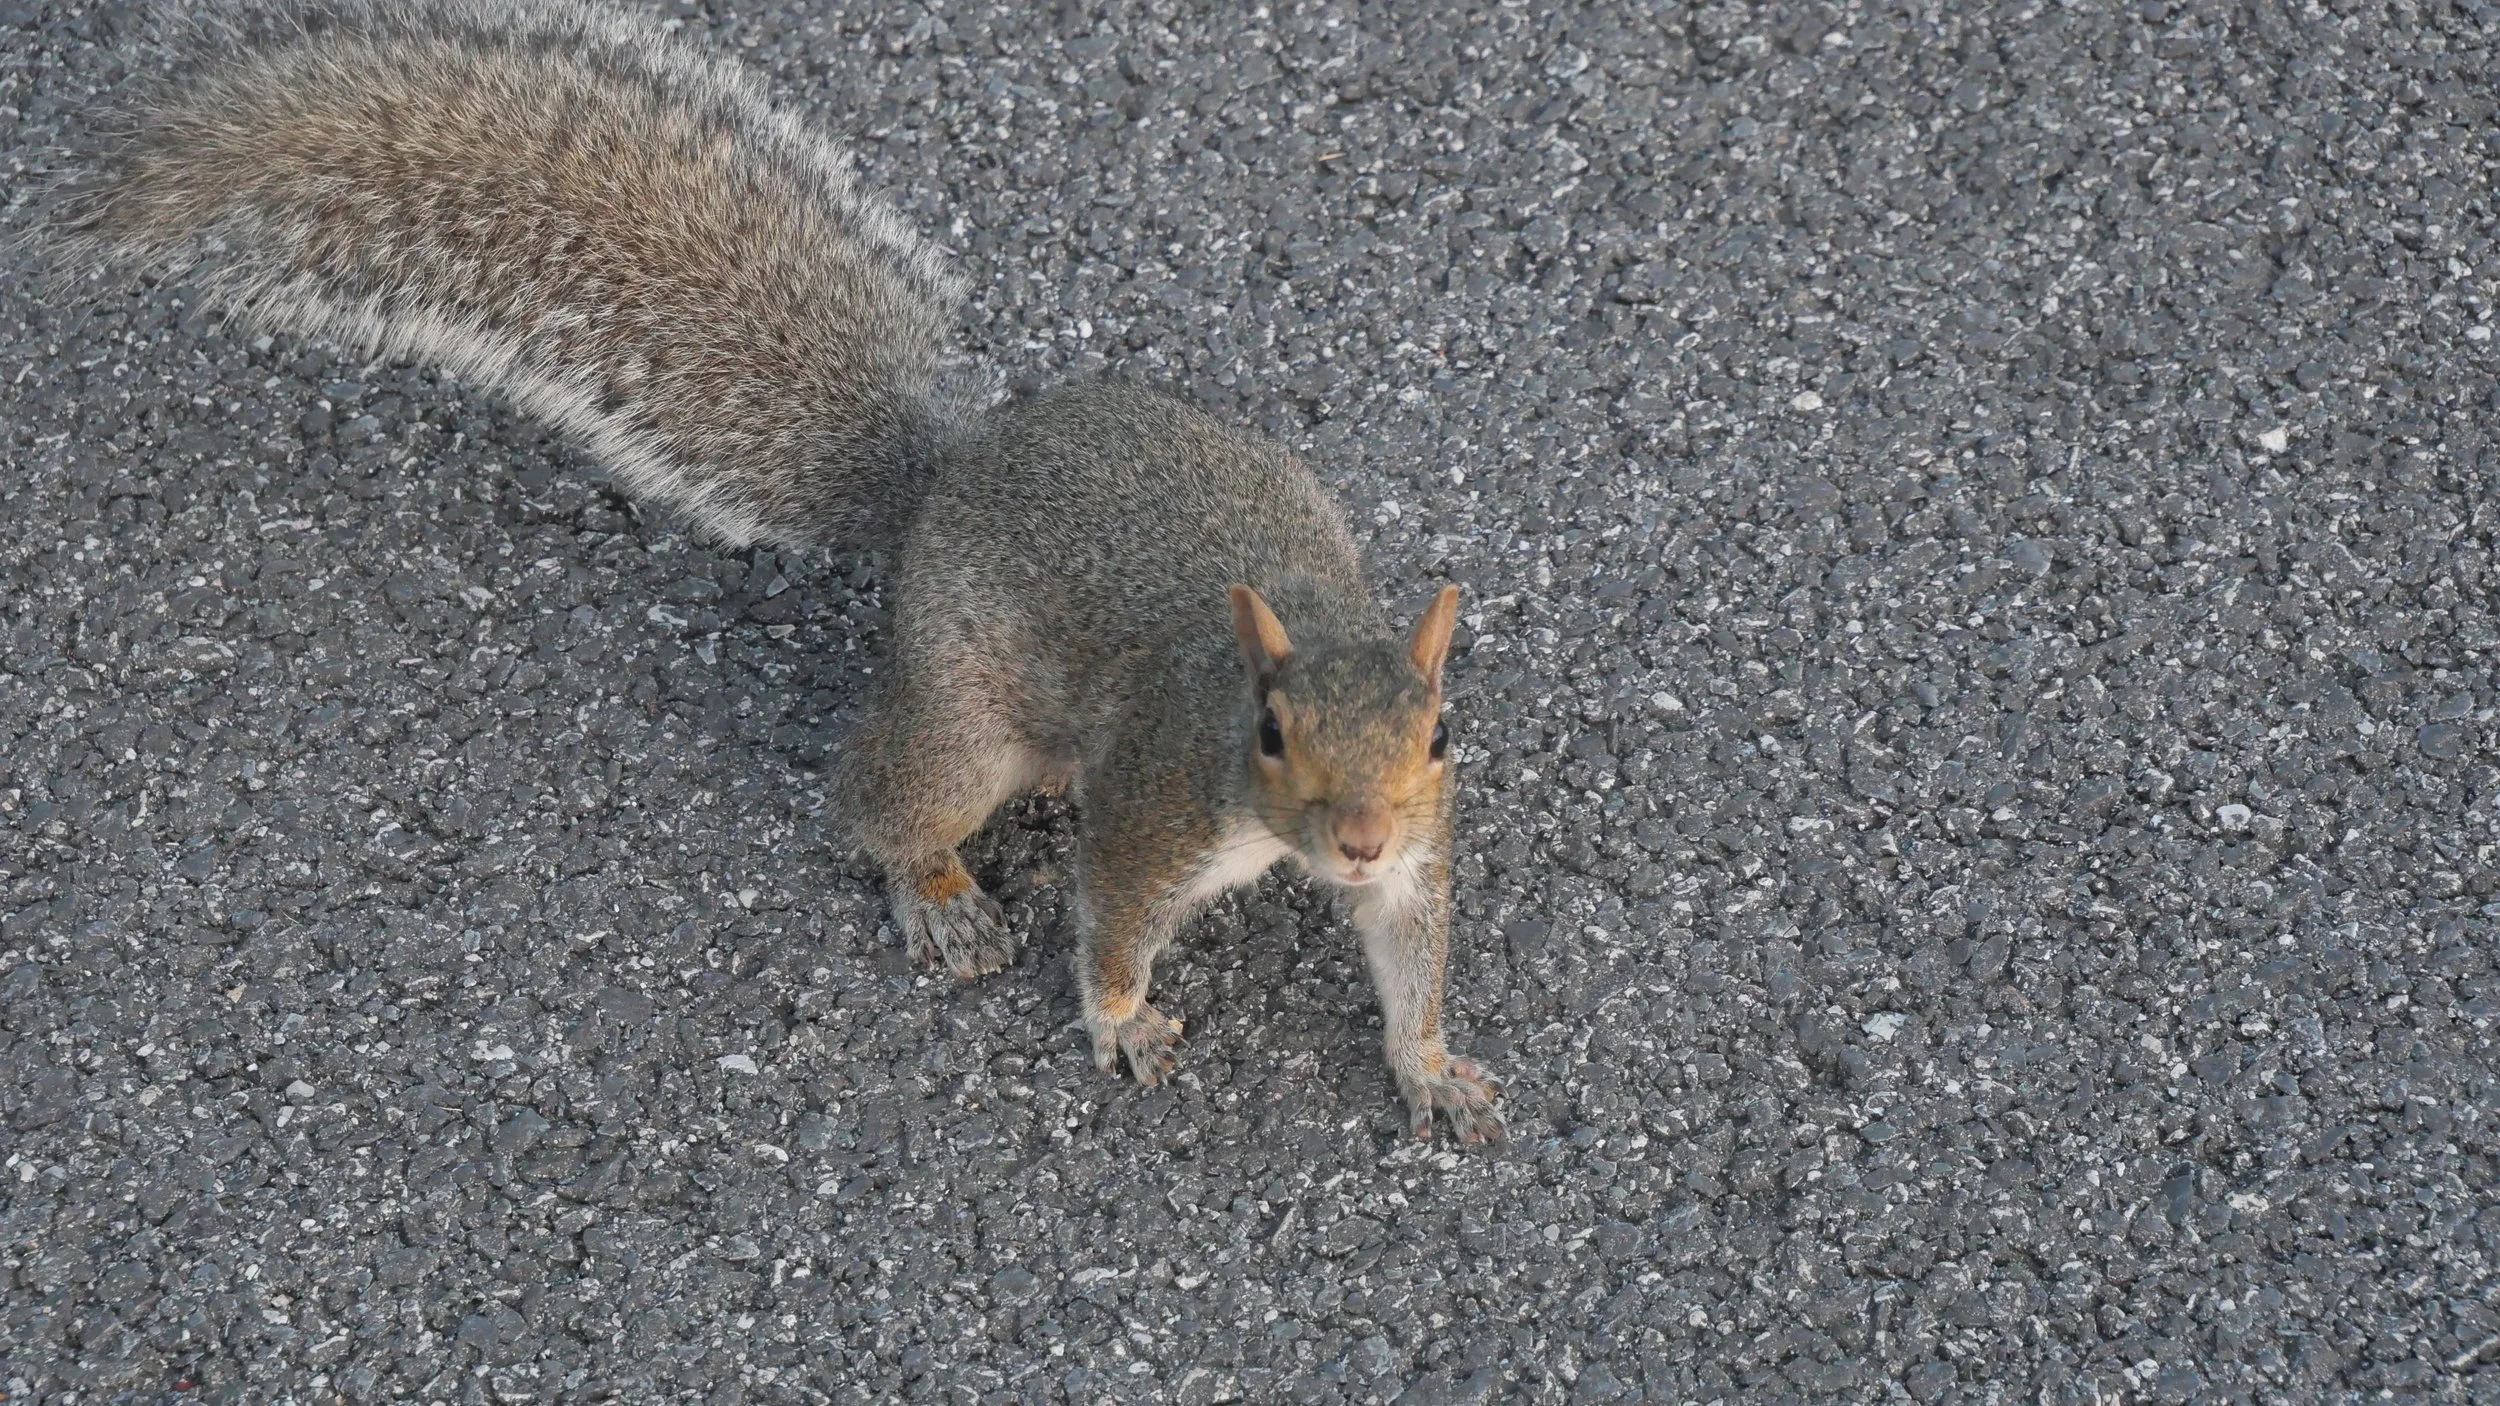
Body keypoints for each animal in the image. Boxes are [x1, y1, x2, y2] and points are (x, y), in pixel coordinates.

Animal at [34, 0, 1503, 1143]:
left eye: (1439, 734)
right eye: (1267, 733)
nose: (1358, 836)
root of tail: (940, 479)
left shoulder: (1417, 851)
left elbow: (1409, 949)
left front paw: (1428, 1066)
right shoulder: (1156, 810)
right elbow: (1112, 928)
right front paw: (1124, 1022)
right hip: (962, 728)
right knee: (879, 803)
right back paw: (938, 896)